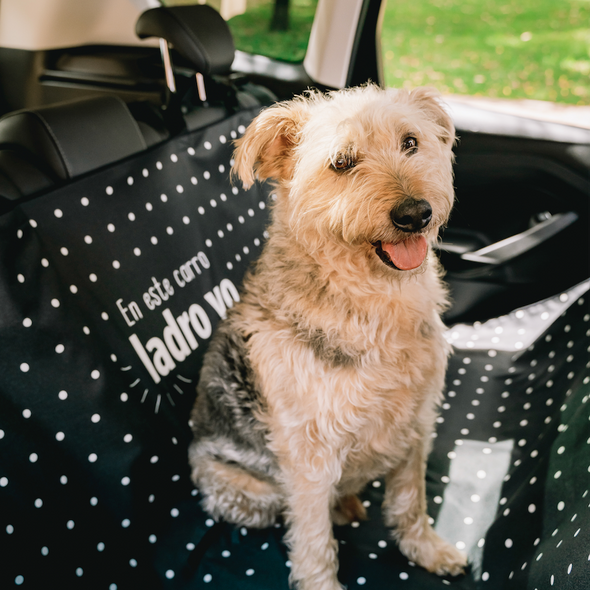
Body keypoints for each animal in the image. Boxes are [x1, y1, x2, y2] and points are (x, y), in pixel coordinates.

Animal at [188, 84, 468, 590]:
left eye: (411, 142)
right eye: (341, 162)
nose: (416, 214)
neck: (373, 299)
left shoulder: (417, 424)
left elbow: (410, 501)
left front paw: (426, 549)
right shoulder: (311, 458)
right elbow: (314, 541)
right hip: (250, 492)